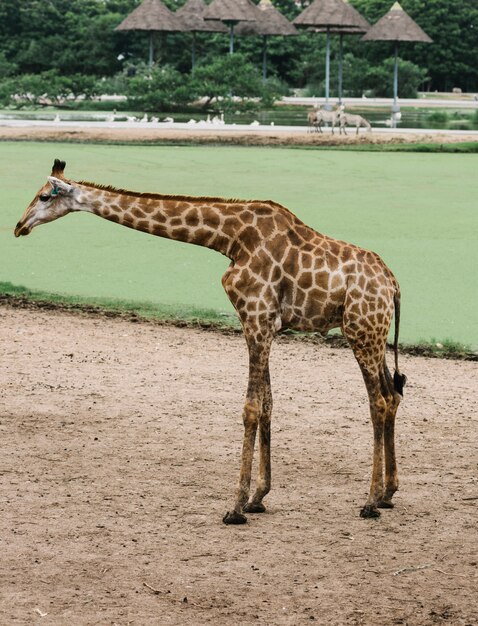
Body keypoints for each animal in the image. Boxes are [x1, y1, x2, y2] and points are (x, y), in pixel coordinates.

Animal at [14, 160, 406, 520]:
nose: (19, 226)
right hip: (375, 333)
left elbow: (250, 408)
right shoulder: (261, 323)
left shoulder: (256, 317)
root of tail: (393, 284)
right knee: (393, 393)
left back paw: (370, 501)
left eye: (44, 195)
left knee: (378, 401)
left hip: (361, 330)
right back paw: (388, 492)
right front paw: (258, 497)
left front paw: (235, 507)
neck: (229, 238)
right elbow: (267, 404)